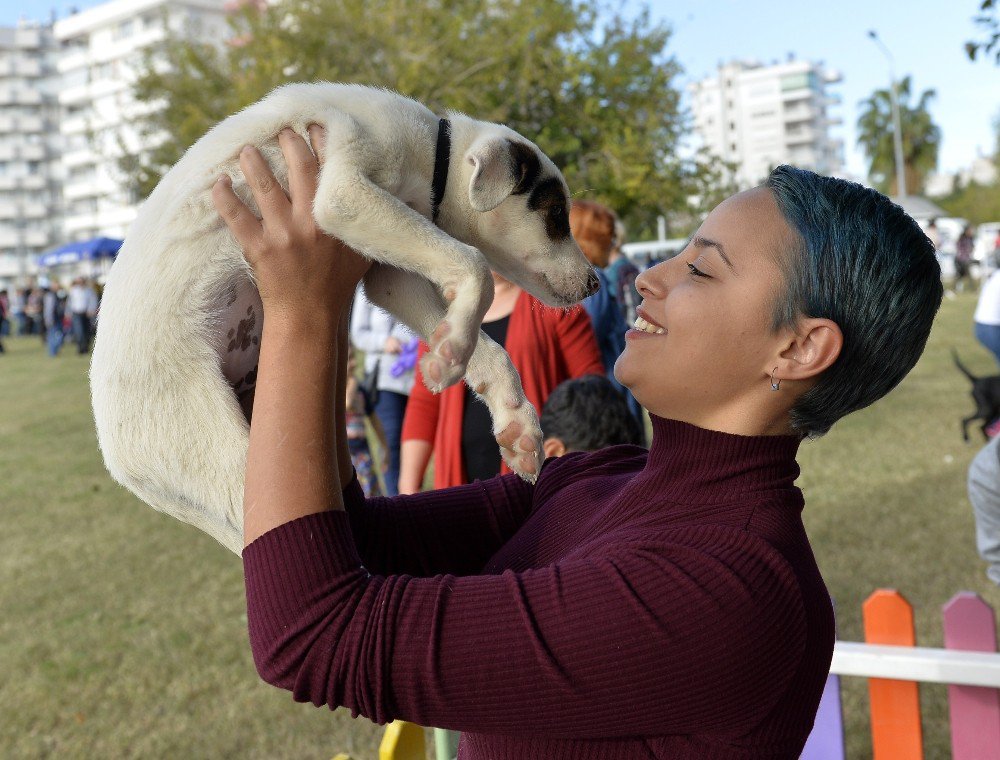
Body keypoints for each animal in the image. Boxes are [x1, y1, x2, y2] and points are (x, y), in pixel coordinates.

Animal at [90, 83, 596, 556]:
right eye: (557, 216)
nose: (594, 283)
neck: (433, 154)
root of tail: (119, 462)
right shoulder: (345, 194)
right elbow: (475, 264)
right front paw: (451, 351)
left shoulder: (389, 278)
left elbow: (492, 348)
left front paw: (513, 418)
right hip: (218, 450)